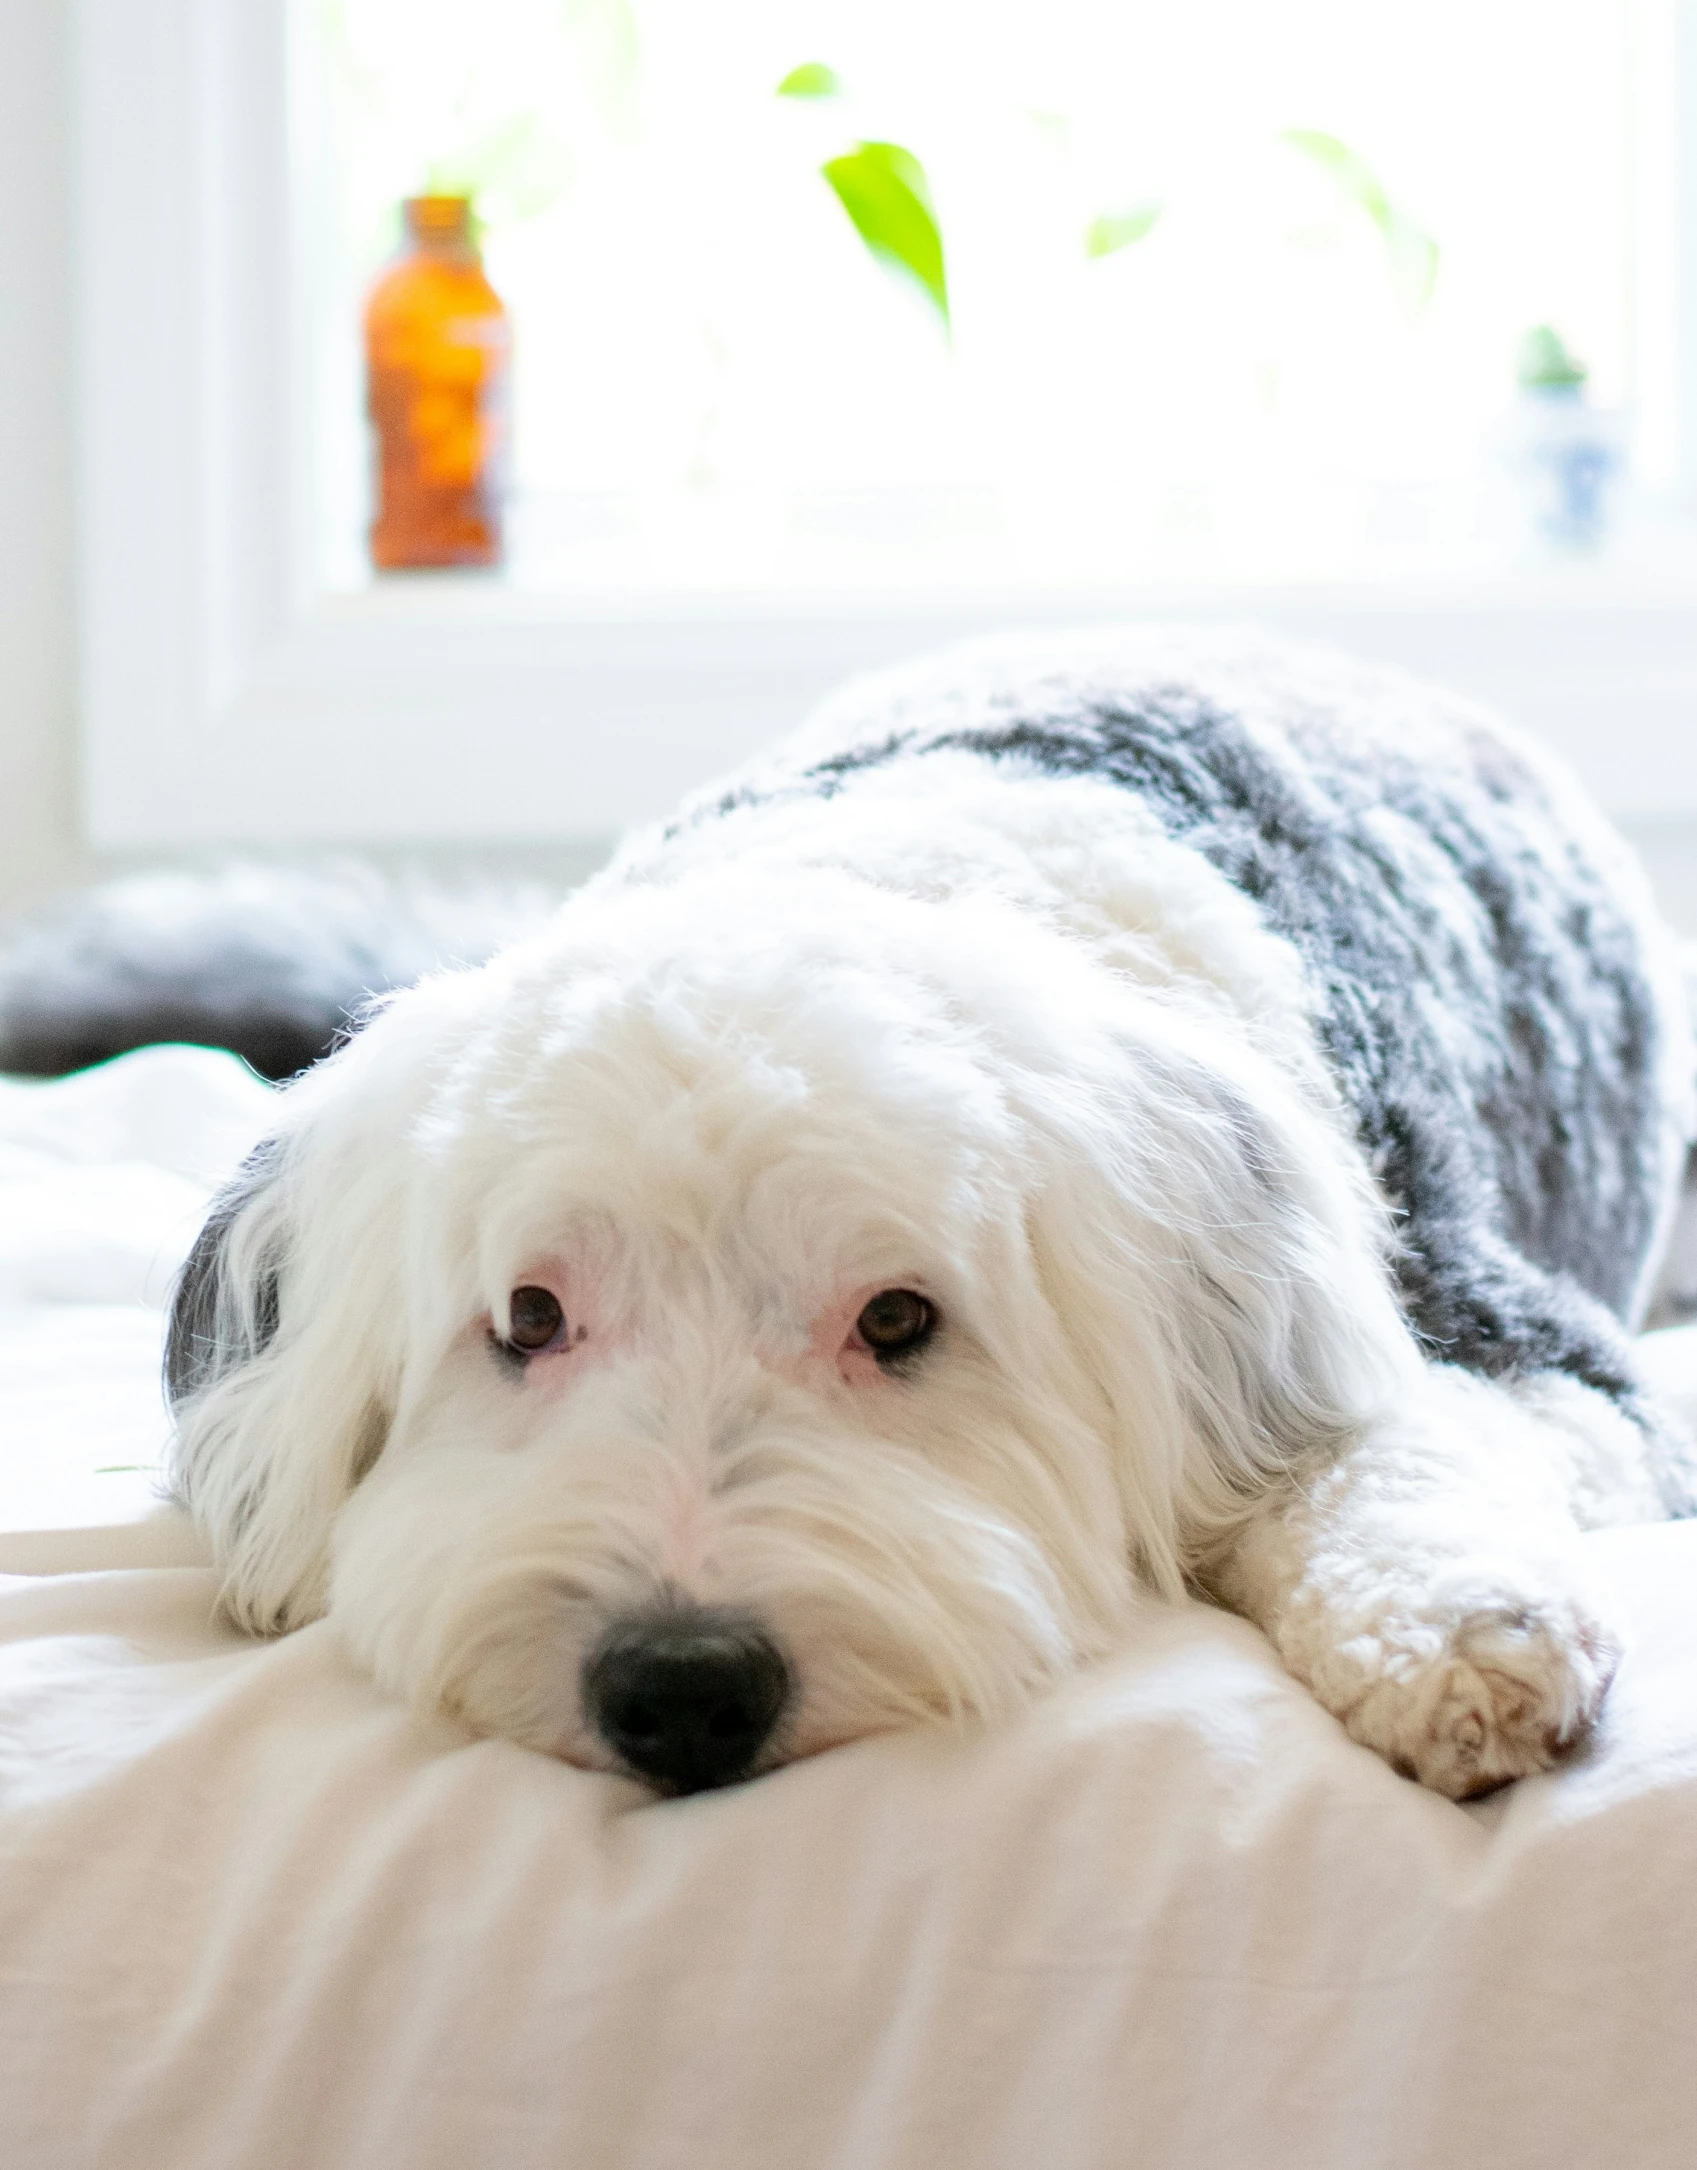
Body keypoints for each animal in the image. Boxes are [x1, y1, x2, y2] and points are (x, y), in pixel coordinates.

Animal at [103, 629, 1697, 1796]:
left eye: (896, 1318)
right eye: (530, 1317)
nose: (680, 1687)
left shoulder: (1518, 1344)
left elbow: (1389, 1449)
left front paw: (1460, 1634)